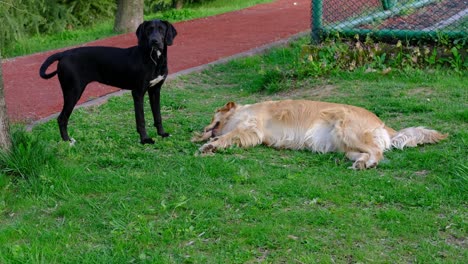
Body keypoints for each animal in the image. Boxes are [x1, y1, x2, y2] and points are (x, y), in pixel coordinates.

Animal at [38, 19, 176, 144]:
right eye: (148, 30)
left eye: (161, 30)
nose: (154, 41)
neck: (154, 59)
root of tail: (63, 53)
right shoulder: (138, 93)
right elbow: (141, 119)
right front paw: (145, 139)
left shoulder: (155, 91)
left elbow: (158, 115)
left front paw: (162, 134)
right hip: (73, 92)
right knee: (62, 118)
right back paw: (67, 141)